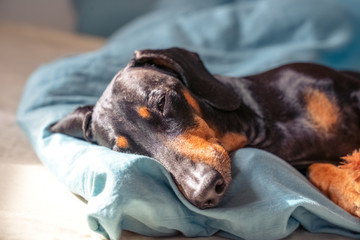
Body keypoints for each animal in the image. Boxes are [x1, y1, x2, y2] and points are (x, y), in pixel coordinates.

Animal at [51, 47, 360, 215]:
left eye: (162, 102)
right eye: (128, 152)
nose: (203, 191)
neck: (263, 120)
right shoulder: (296, 161)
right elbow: (318, 169)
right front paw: (350, 191)